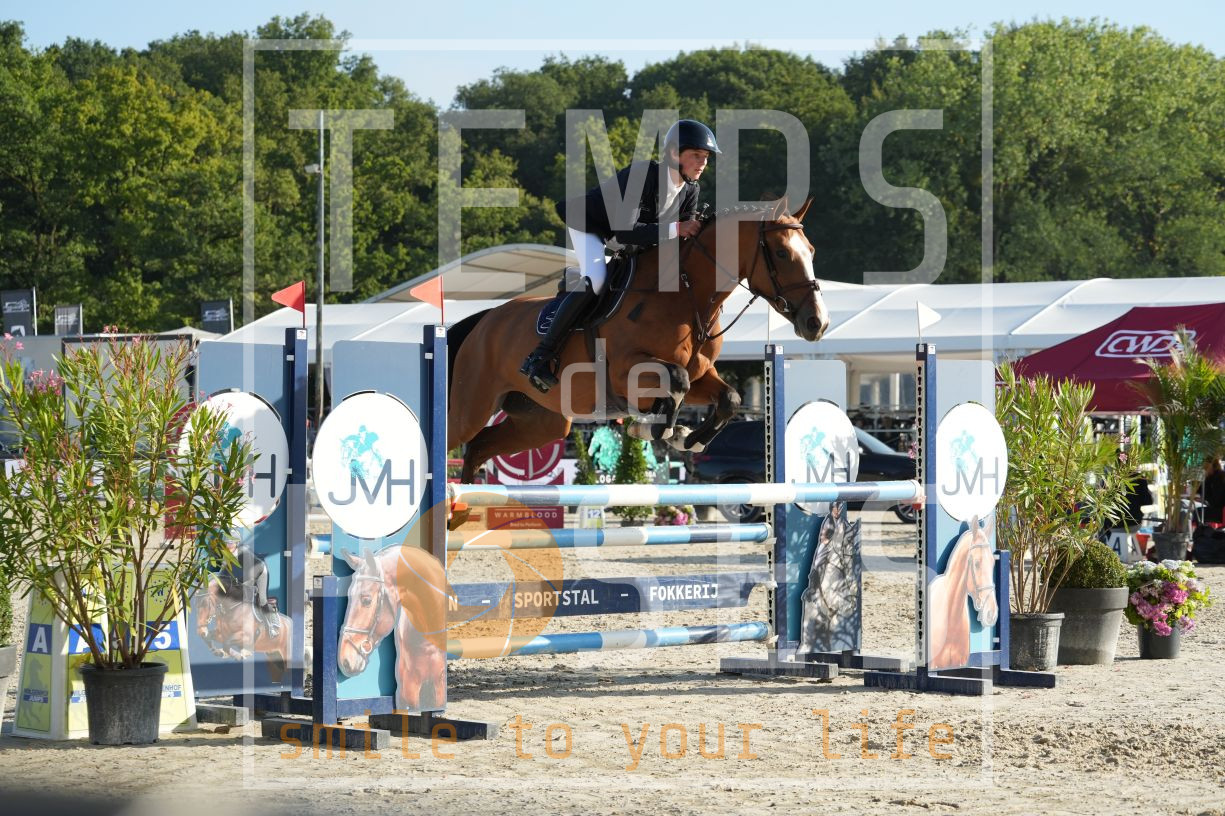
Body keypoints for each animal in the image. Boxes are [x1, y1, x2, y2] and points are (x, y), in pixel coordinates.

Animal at [446, 197, 830, 498]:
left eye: (812, 251)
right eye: (781, 252)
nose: (818, 322)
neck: (686, 295)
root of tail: (483, 320)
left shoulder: (702, 374)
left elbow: (728, 398)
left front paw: (687, 439)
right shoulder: (625, 372)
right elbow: (676, 383)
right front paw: (661, 429)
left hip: (541, 422)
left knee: (479, 447)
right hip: (470, 409)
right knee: (457, 438)